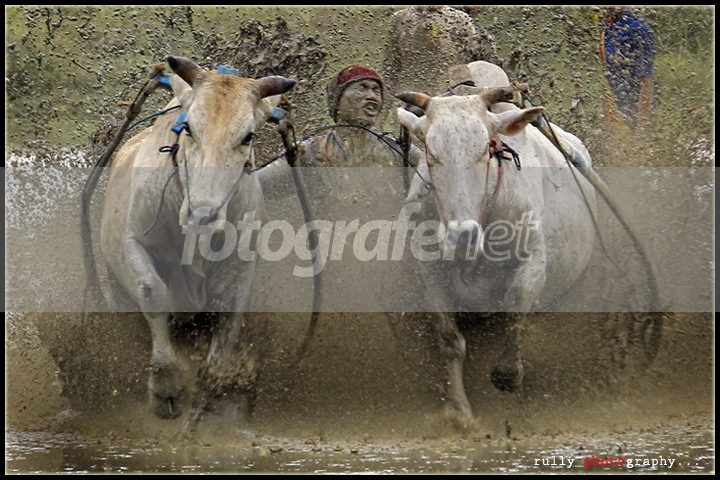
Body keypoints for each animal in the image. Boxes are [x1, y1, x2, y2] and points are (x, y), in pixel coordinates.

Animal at [82, 56, 296, 425]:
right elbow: (153, 293)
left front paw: (211, 393)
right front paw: (165, 387)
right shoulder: (134, 244)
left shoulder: (241, 267)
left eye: (248, 136)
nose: (203, 214)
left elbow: (226, 325)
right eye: (190, 128)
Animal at [395, 61, 599, 422]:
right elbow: (450, 339)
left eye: (485, 150)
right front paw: (460, 412)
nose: (462, 236)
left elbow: (515, 309)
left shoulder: (534, 264)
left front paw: (508, 374)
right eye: (431, 154)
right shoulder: (429, 274)